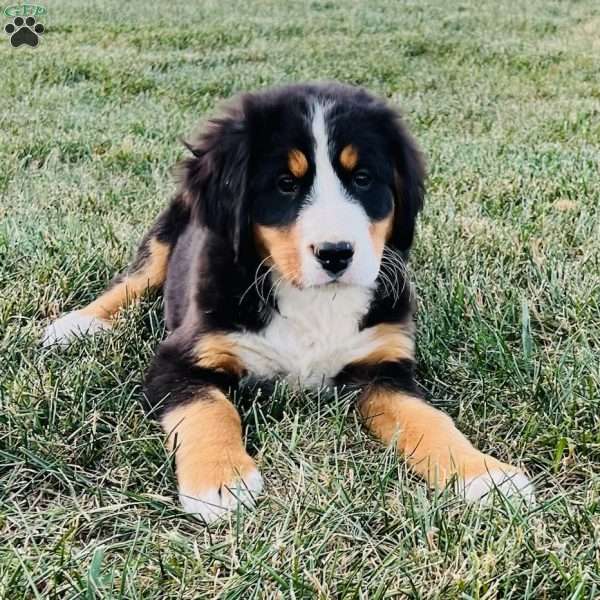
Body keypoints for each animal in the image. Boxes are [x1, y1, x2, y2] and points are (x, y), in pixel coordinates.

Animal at [43, 83, 536, 520]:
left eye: (363, 179)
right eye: (285, 184)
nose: (336, 253)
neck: (312, 300)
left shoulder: (382, 367)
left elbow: (429, 420)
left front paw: (483, 475)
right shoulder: (180, 358)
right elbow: (209, 408)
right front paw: (220, 480)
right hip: (169, 229)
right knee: (134, 278)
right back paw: (77, 325)